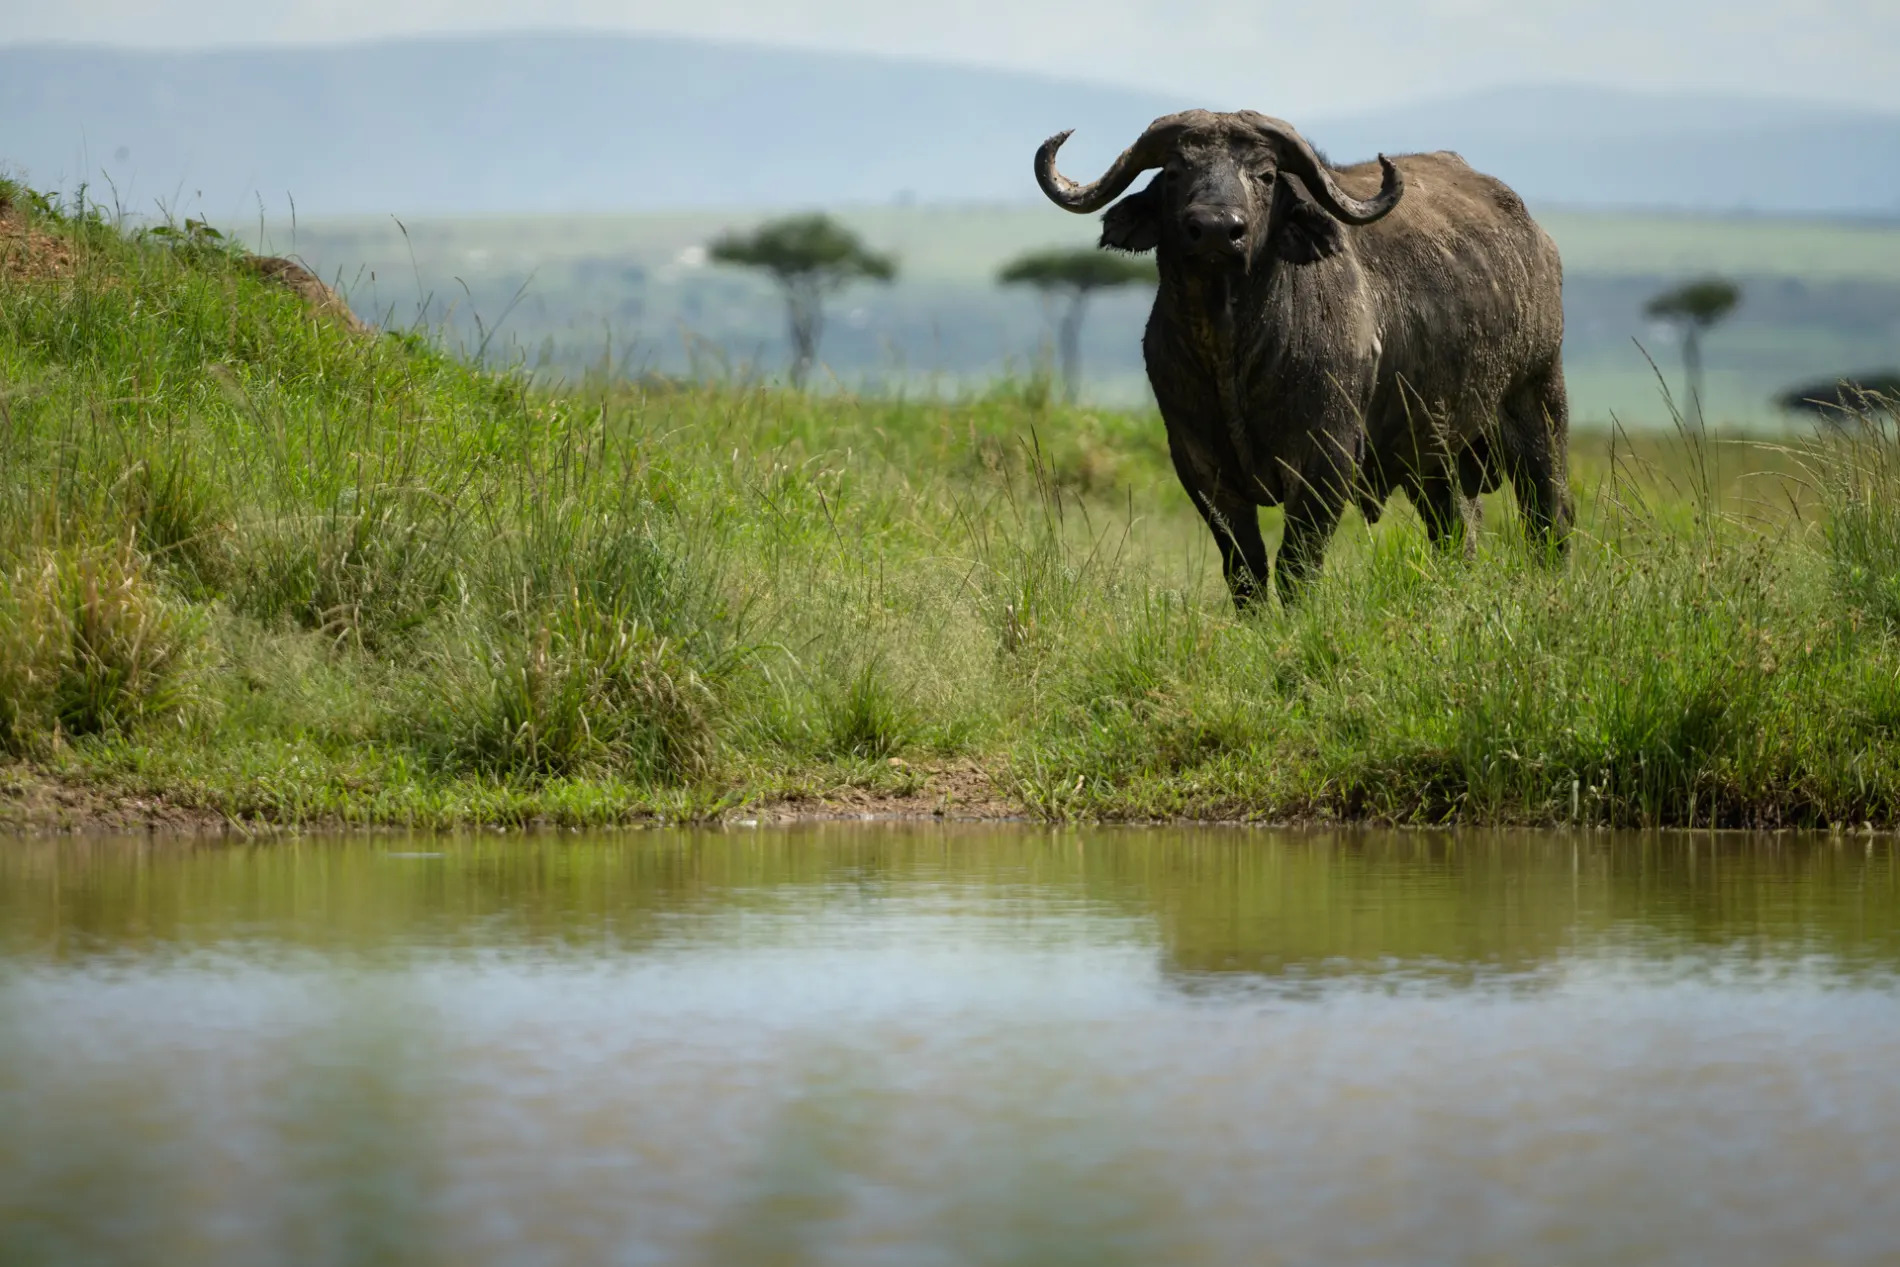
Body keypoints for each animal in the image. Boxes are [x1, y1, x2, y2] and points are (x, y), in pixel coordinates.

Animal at [1033, 109, 1565, 604]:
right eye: (1176, 170)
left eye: (1267, 175)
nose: (1216, 230)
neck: (1232, 351)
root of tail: (1539, 241)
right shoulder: (1200, 465)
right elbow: (1244, 568)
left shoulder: (1324, 459)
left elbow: (1296, 564)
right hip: (1436, 457)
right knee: (1456, 533)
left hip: (1539, 403)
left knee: (1549, 514)